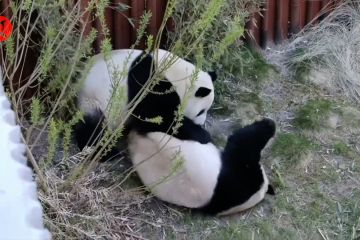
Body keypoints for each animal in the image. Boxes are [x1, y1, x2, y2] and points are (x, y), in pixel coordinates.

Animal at [74, 47, 215, 158]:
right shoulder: (148, 83)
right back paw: (106, 154)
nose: (201, 123)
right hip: (94, 99)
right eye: (201, 112)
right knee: (93, 128)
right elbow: (156, 117)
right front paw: (203, 135)